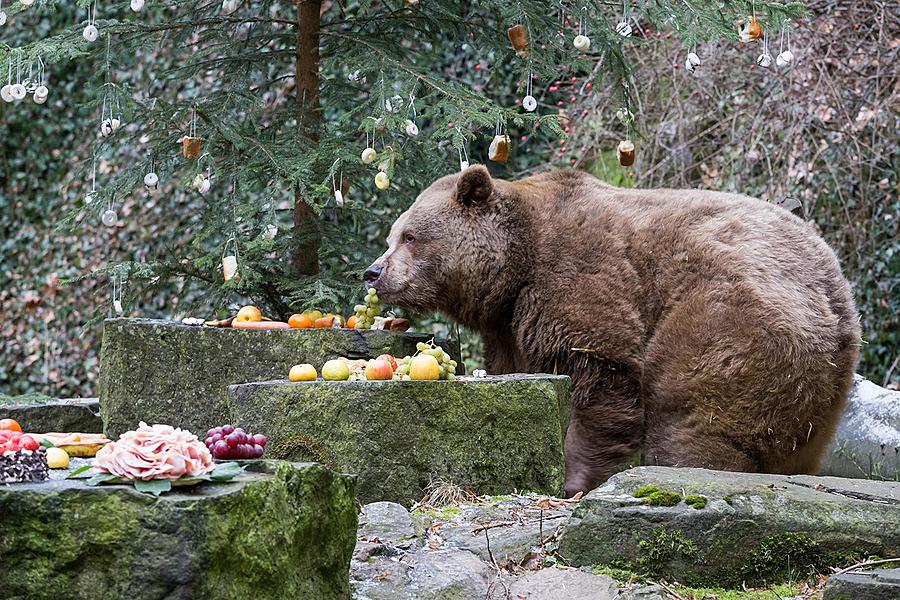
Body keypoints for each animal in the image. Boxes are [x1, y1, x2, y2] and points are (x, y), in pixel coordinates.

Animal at [362, 165, 860, 496]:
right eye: (392, 236)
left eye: (410, 236)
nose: (373, 272)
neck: (516, 266)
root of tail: (833, 293)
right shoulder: (509, 324)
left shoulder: (578, 275)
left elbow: (601, 372)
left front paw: (573, 476)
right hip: (821, 390)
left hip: (731, 320)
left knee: (689, 408)